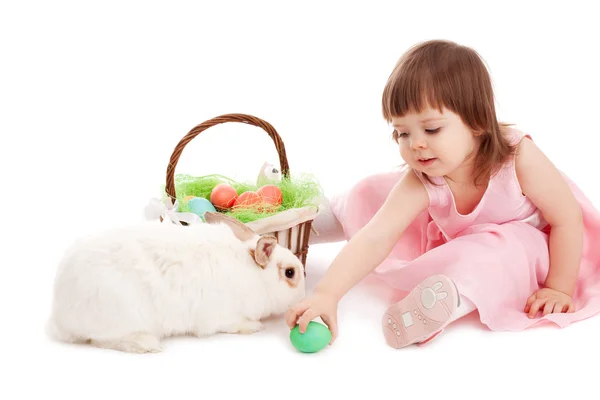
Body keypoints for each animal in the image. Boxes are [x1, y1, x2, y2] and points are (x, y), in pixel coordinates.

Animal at [45, 211, 308, 352]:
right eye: (290, 273)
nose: (303, 296)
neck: (253, 275)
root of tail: (60, 316)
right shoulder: (221, 317)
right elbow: (234, 324)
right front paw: (254, 327)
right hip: (122, 315)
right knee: (103, 340)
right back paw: (147, 344)